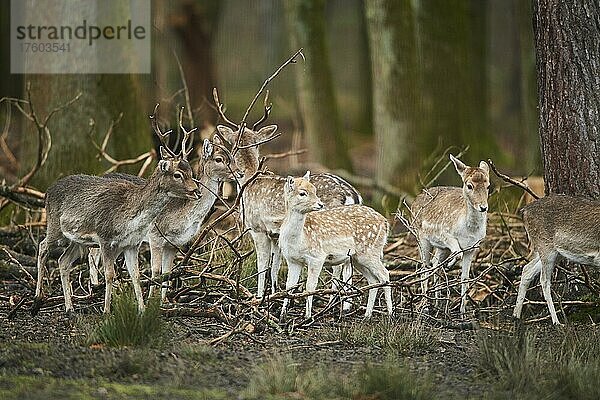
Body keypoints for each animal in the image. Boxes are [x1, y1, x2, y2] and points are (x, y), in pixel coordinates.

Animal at [34, 108, 200, 314]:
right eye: (178, 175)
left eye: (191, 172)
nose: (196, 190)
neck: (129, 218)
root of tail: (47, 191)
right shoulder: (105, 238)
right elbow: (109, 274)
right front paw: (106, 310)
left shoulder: (132, 244)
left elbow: (136, 275)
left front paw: (142, 310)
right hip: (55, 227)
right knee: (43, 247)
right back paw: (37, 299)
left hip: (76, 240)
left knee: (63, 261)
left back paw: (70, 308)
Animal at [278, 172, 392, 318]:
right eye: (302, 193)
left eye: (315, 190)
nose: (320, 204)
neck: (299, 239)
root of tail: (385, 223)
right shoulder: (292, 260)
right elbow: (289, 287)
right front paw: (282, 315)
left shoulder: (317, 257)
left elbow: (310, 286)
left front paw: (308, 316)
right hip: (358, 258)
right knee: (373, 280)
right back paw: (367, 315)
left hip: (370, 252)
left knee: (385, 274)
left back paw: (390, 314)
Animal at [410, 155, 490, 314]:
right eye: (469, 185)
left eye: (488, 185)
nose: (483, 207)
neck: (468, 231)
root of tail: (414, 200)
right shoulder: (445, 235)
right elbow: (458, 253)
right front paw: (450, 265)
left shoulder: (472, 248)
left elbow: (465, 277)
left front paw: (463, 311)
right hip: (421, 238)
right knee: (424, 268)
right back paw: (425, 306)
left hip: (442, 248)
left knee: (435, 263)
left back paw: (438, 302)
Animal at [510, 195, 600, 324]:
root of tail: (524, 211)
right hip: (546, 247)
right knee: (544, 281)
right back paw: (556, 322)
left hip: (556, 253)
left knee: (527, 269)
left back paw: (516, 315)